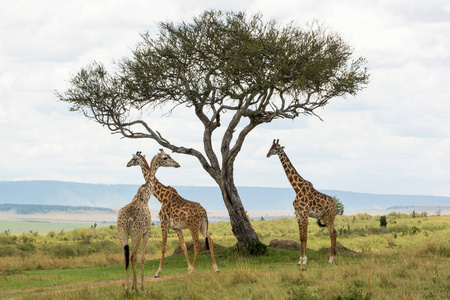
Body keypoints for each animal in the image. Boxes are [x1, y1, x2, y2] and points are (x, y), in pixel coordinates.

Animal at [117, 150, 180, 292]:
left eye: (133, 159)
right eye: (165, 157)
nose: (177, 164)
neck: (144, 197)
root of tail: (127, 220)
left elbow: (136, 257)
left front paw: (133, 286)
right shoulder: (147, 232)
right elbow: (142, 257)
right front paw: (141, 286)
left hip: (122, 233)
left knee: (126, 256)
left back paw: (127, 288)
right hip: (136, 233)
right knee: (133, 256)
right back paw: (135, 288)